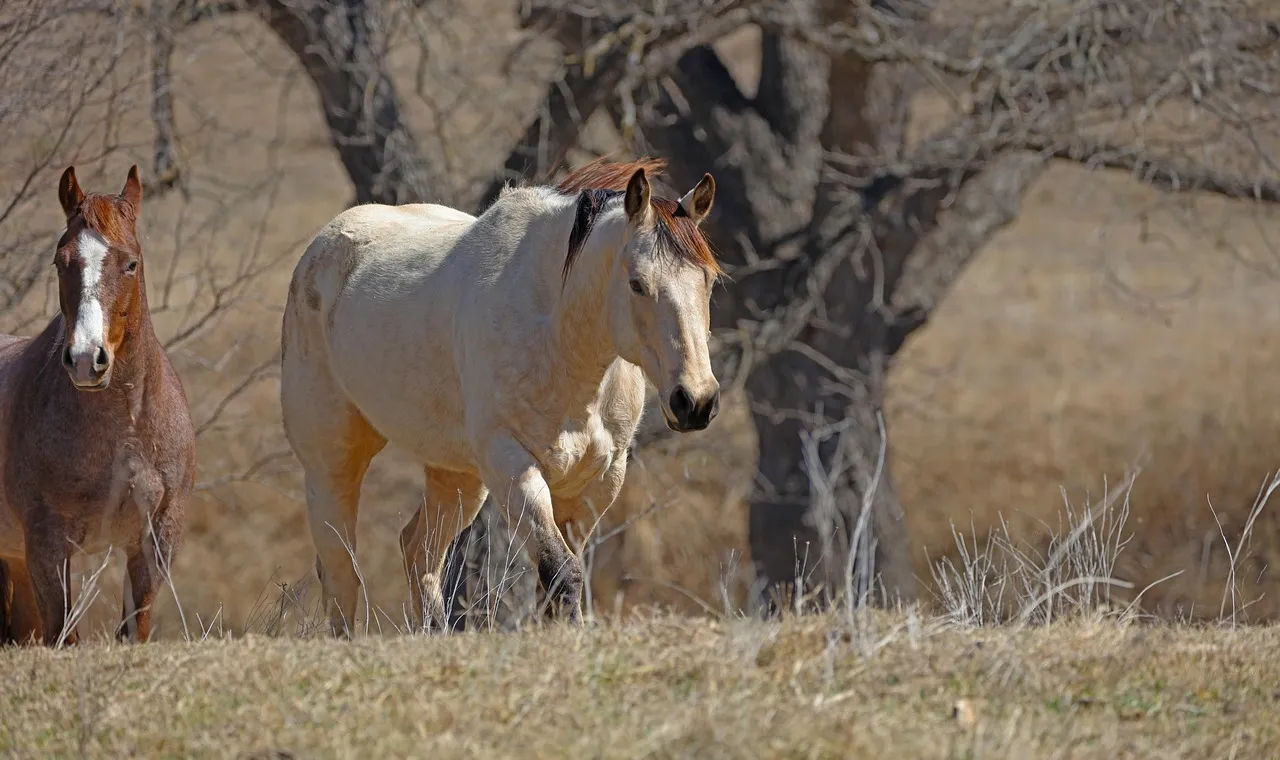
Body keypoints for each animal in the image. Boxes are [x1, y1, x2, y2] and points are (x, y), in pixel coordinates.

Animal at [0, 165, 196, 645]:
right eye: (60, 261)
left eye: (131, 263)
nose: (88, 359)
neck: (123, 432)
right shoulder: (48, 547)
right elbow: (64, 635)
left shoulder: (153, 540)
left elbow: (134, 630)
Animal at [280, 156, 722, 635]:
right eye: (637, 283)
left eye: (709, 281)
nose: (695, 401)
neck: (559, 344)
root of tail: (320, 250)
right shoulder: (511, 464)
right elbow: (562, 572)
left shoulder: (599, 481)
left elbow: (559, 580)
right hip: (332, 464)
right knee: (341, 574)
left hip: (457, 477)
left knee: (418, 552)